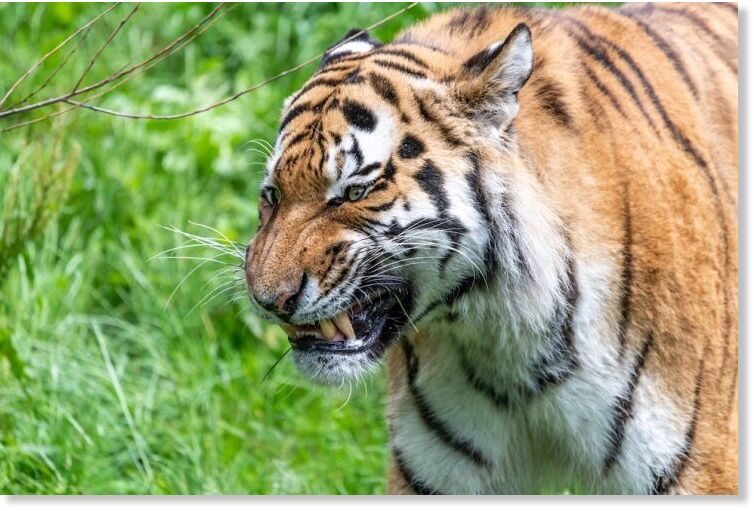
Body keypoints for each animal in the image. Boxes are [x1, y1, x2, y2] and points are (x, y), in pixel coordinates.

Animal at [243, 2, 738, 495]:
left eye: (355, 192)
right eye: (272, 195)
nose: (268, 301)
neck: (505, 338)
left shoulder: (697, 467)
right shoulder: (438, 475)